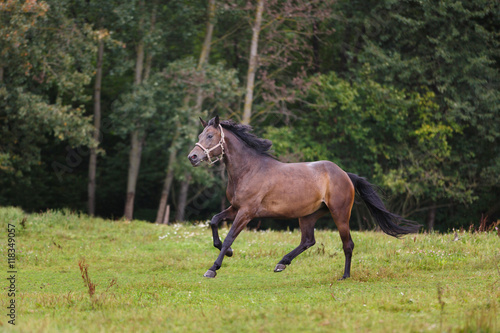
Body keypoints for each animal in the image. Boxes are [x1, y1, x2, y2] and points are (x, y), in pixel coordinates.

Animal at [188, 116, 418, 278]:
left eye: (210, 136)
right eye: (200, 136)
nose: (193, 157)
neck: (248, 169)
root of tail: (345, 174)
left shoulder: (246, 212)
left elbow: (229, 237)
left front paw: (213, 268)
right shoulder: (235, 208)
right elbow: (214, 221)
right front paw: (228, 252)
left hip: (340, 214)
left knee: (348, 244)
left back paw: (345, 276)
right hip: (308, 215)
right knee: (308, 240)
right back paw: (282, 263)